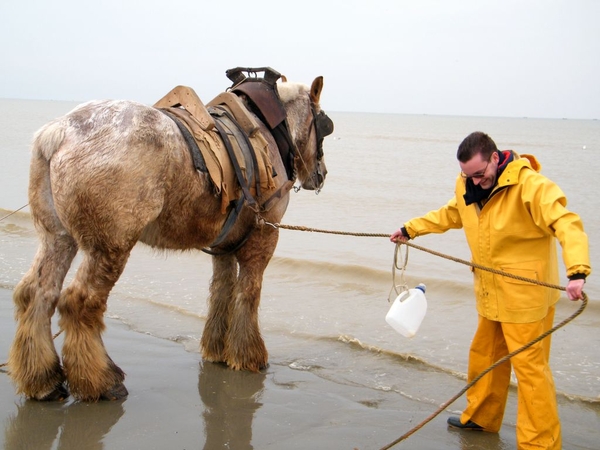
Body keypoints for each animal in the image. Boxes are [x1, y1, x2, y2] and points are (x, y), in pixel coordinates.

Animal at [9, 69, 336, 400]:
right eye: (325, 126)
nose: (321, 174)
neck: (266, 131)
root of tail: (59, 132)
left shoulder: (225, 244)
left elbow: (222, 290)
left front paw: (217, 349)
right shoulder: (263, 235)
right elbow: (249, 293)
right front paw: (248, 356)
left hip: (57, 237)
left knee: (37, 293)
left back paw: (43, 379)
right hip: (109, 247)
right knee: (79, 302)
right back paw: (102, 381)